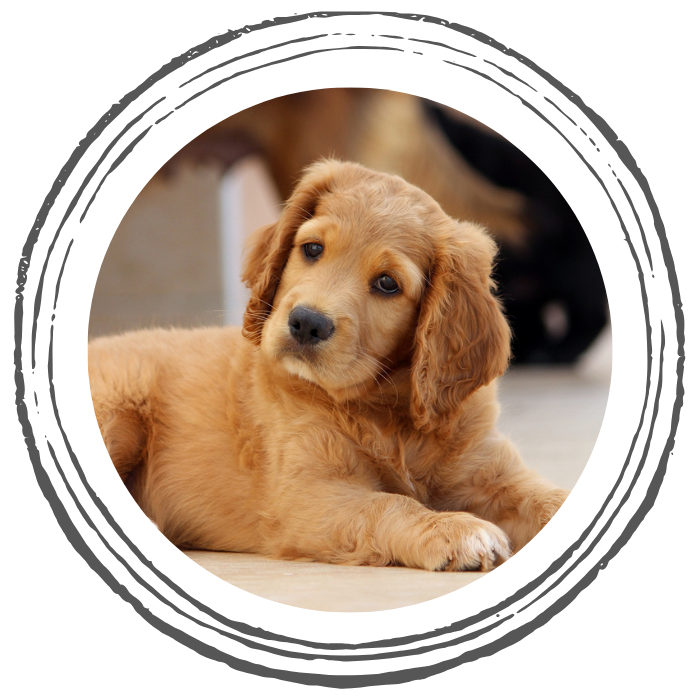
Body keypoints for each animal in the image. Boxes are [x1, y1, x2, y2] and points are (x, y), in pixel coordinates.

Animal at [87, 157, 576, 568]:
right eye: (312, 249)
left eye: (387, 283)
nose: (306, 323)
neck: (389, 410)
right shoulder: (308, 494)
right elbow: (388, 503)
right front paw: (451, 528)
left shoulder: (490, 470)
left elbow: (554, 500)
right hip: (117, 407)